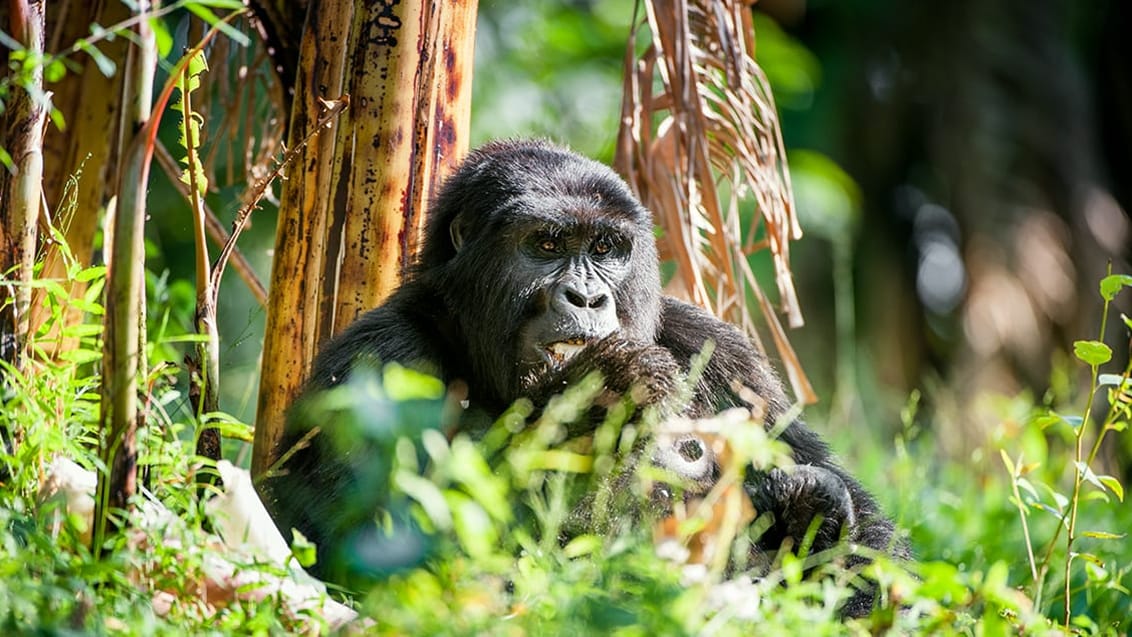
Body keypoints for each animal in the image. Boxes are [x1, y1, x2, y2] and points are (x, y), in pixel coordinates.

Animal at [259, 139, 910, 620]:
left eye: (606, 247)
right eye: (546, 244)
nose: (588, 296)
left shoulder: (722, 350)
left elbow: (876, 552)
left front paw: (816, 515)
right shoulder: (374, 360)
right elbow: (368, 544)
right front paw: (598, 392)